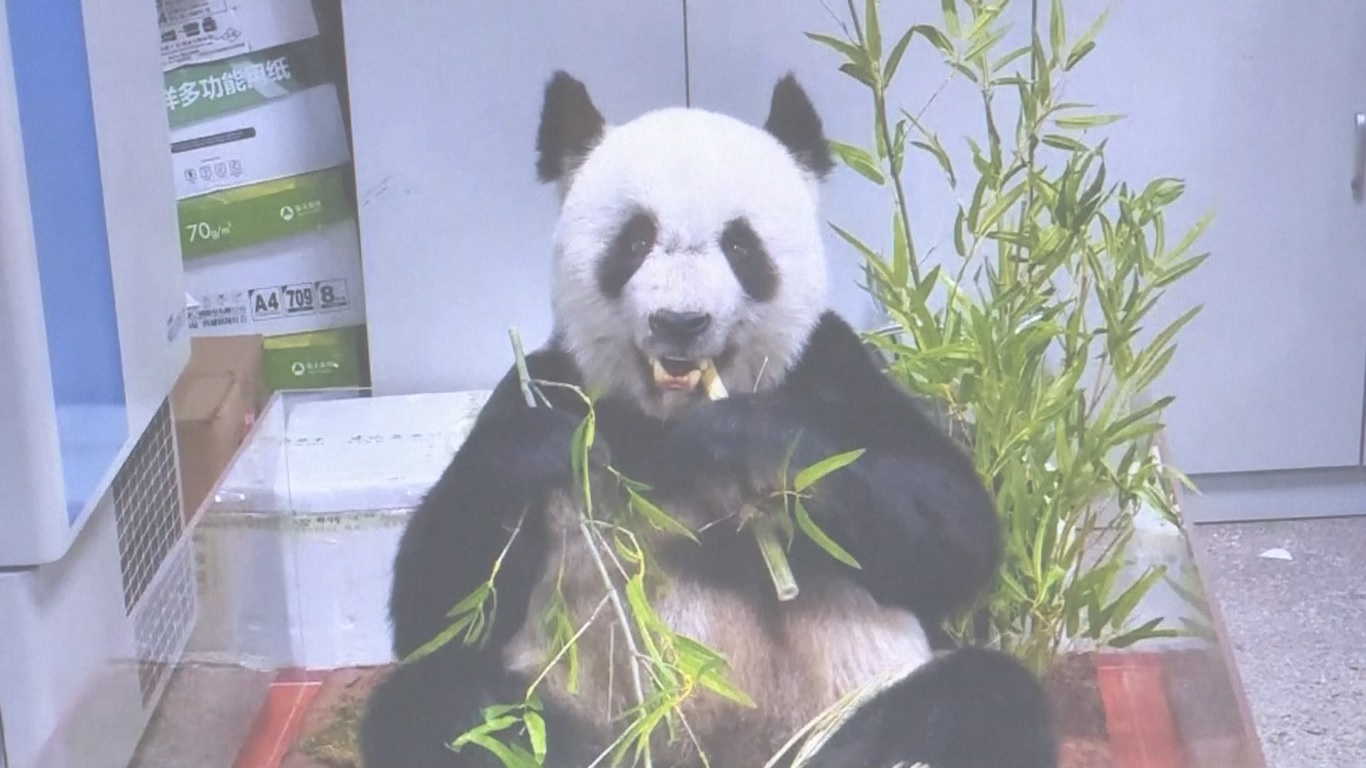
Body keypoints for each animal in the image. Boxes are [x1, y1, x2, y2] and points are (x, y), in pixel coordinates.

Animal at [357, 70, 1058, 768]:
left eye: (740, 245)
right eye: (635, 240)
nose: (680, 322)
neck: (663, 421)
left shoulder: (830, 368)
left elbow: (954, 524)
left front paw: (735, 439)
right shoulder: (548, 383)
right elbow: (438, 603)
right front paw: (546, 448)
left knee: (973, 700)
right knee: (443, 708)